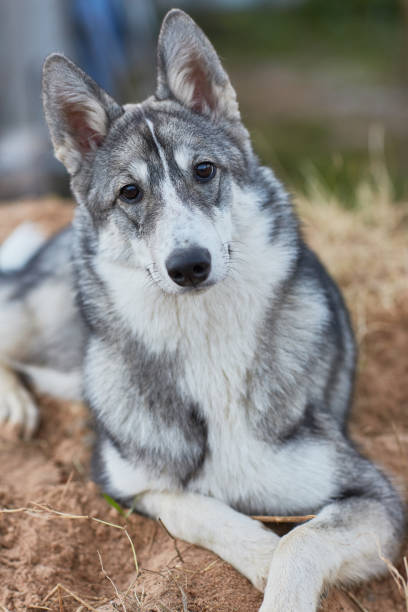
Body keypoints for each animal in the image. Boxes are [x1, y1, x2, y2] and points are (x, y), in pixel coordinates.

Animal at [0, 9, 404, 612]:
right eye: (129, 193)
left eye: (205, 171)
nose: (189, 265)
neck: (205, 337)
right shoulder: (126, 481)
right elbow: (199, 509)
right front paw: (259, 556)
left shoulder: (376, 498)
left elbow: (301, 543)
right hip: (45, 325)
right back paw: (16, 405)